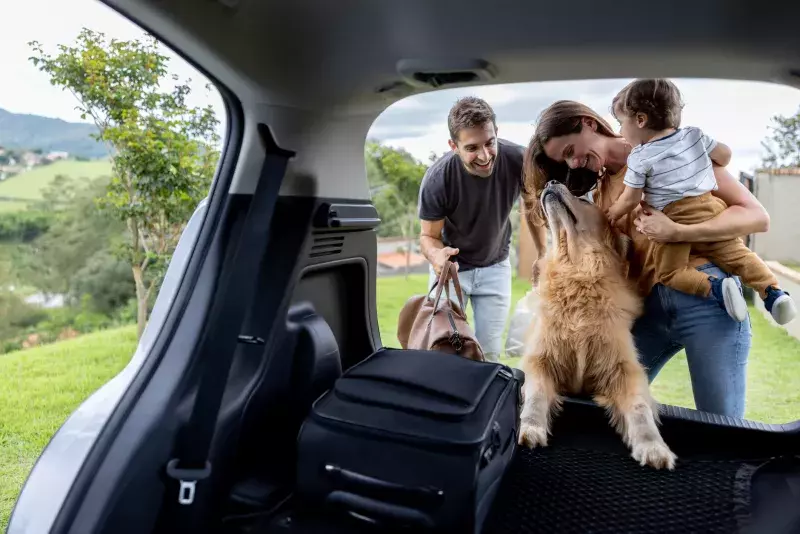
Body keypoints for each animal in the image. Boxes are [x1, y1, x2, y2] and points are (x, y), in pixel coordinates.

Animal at [520, 182, 676, 472]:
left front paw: (652, 446)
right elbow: (536, 394)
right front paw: (531, 428)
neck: (578, 274)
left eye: (584, 200)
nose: (550, 183)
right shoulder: (540, 360)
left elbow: (639, 408)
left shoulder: (625, 370)